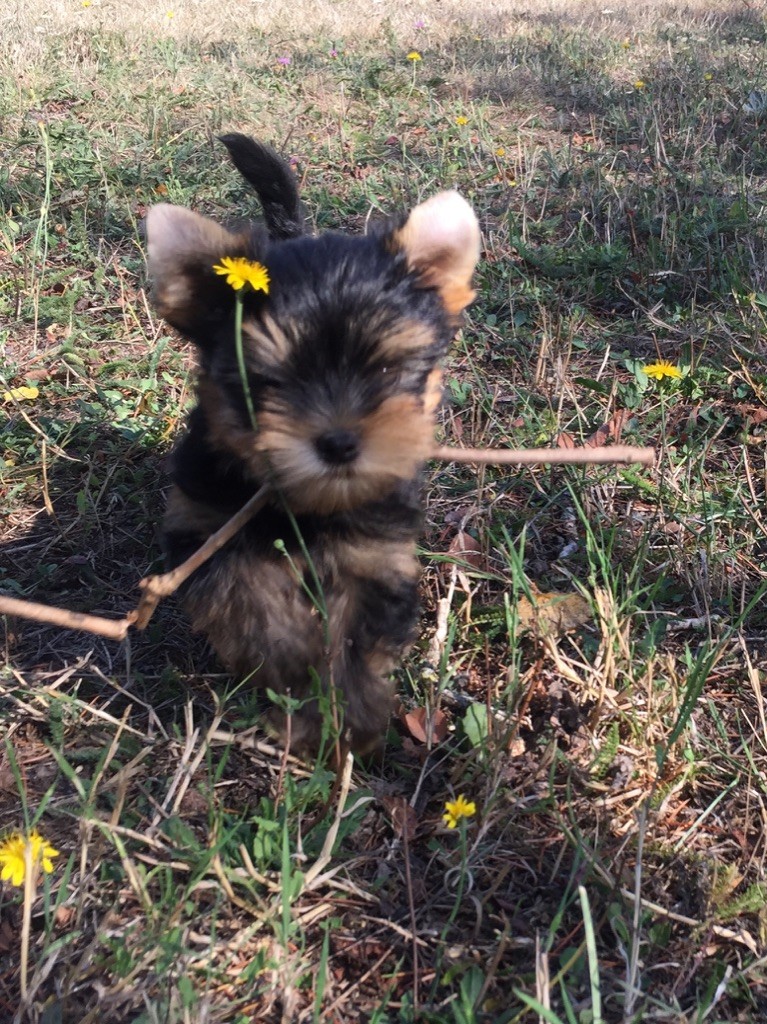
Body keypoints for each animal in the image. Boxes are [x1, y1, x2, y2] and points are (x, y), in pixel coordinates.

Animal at [144, 136, 479, 753]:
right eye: (265, 382)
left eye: (387, 369)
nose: (340, 442)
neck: (305, 506)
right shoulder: (204, 525)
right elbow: (249, 600)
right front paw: (296, 673)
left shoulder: (376, 552)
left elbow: (355, 632)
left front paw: (351, 720)